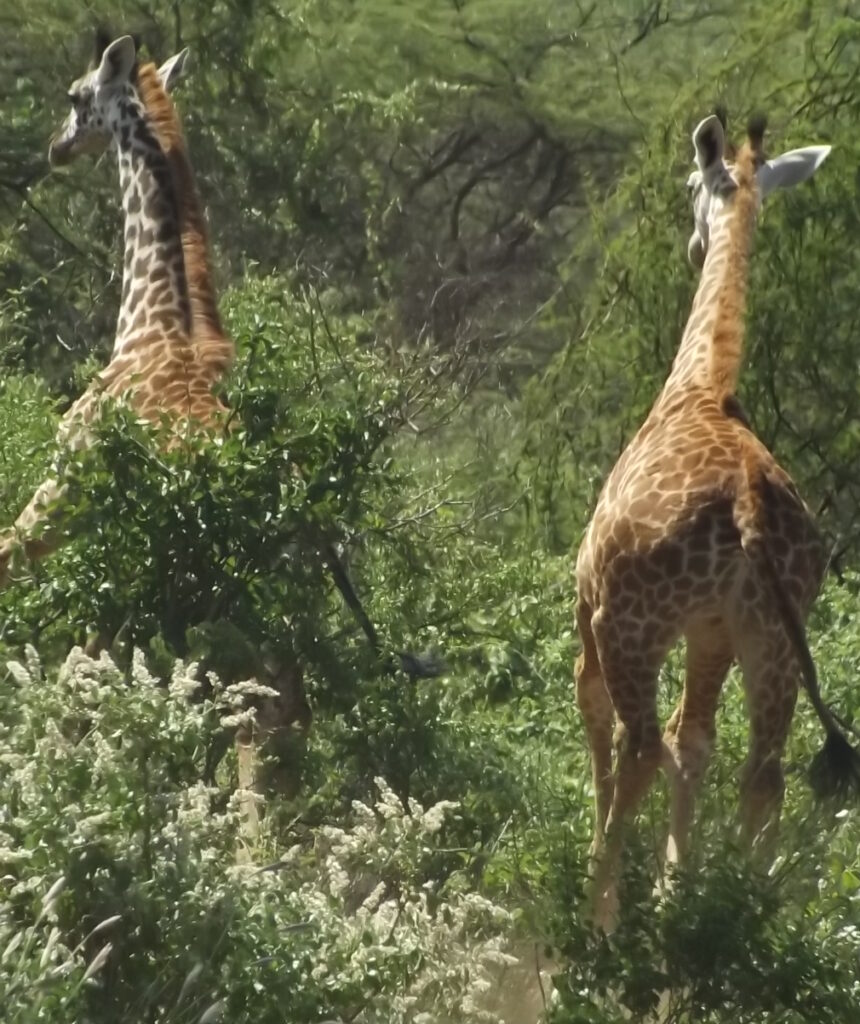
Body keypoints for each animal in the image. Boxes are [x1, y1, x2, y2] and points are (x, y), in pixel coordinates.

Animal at [574, 111, 859, 930]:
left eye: (688, 184)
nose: (693, 243)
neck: (703, 384)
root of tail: (747, 506)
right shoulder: (713, 630)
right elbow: (696, 742)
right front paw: (677, 886)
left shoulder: (588, 601)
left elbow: (596, 713)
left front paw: (629, 887)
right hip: (772, 636)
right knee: (762, 771)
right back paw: (742, 920)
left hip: (636, 622)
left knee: (640, 742)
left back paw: (600, 920)